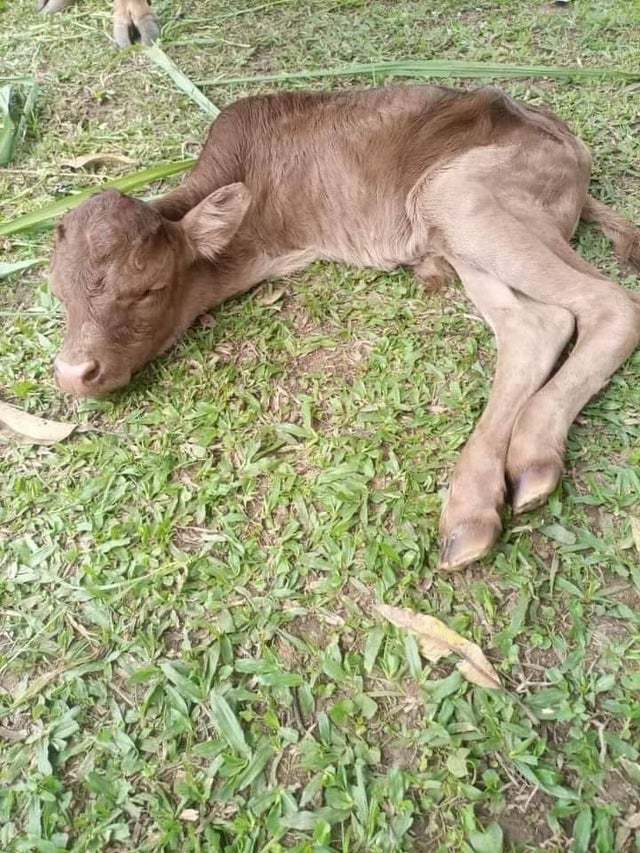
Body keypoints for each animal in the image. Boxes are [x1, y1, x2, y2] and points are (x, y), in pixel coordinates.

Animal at [50, 85, 640, 572]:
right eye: (59, 291)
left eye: (148, 289)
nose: (74, 372)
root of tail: (568, 142)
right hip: (455, 223)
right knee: (536, 326)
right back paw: (473, 511)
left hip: (461, 193)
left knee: (610, 303)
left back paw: (532, 455)